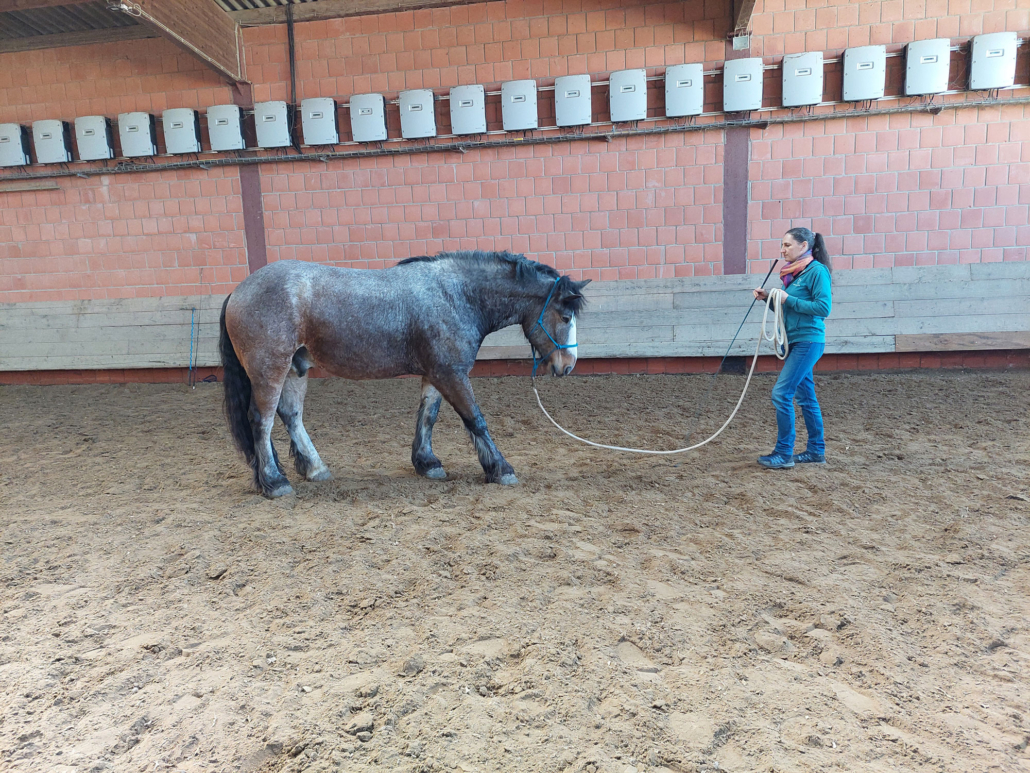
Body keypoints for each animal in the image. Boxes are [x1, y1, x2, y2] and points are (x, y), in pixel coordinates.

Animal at [218, 250, 589, 498]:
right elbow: (475, 420)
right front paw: (500, 469)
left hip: (296, 369)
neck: (454, 295)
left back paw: (314, 468)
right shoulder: (452, 374)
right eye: (565, 316)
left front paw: (427, 463)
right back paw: (274, 482)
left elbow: (428, 416)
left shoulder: (437, 374)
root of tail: (238, 290)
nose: (568, 365)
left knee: (291, 415)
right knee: (262, 421)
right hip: (271, 369)